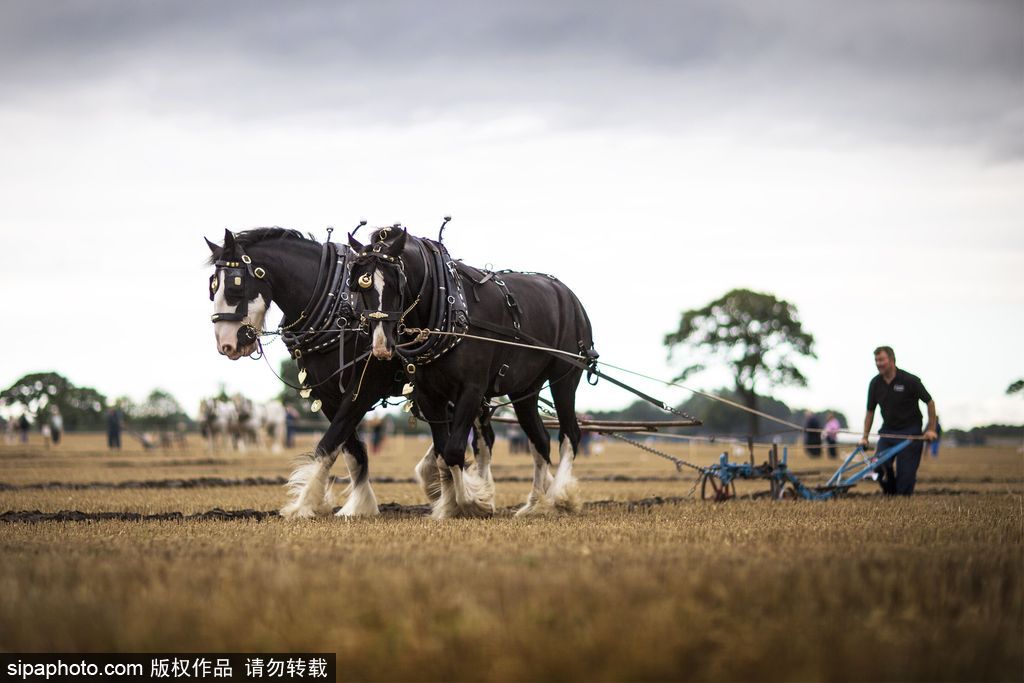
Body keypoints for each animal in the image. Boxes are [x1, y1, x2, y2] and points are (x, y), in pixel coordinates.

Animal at [204, 229, 403, 518]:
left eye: (234, 285)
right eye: (212, 287)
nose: (225, 343)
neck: (343, 310)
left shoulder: (366, 386)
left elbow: (328, 443)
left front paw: (304, 504)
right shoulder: (329, 394)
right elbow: (352, 450)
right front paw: (360, 506)